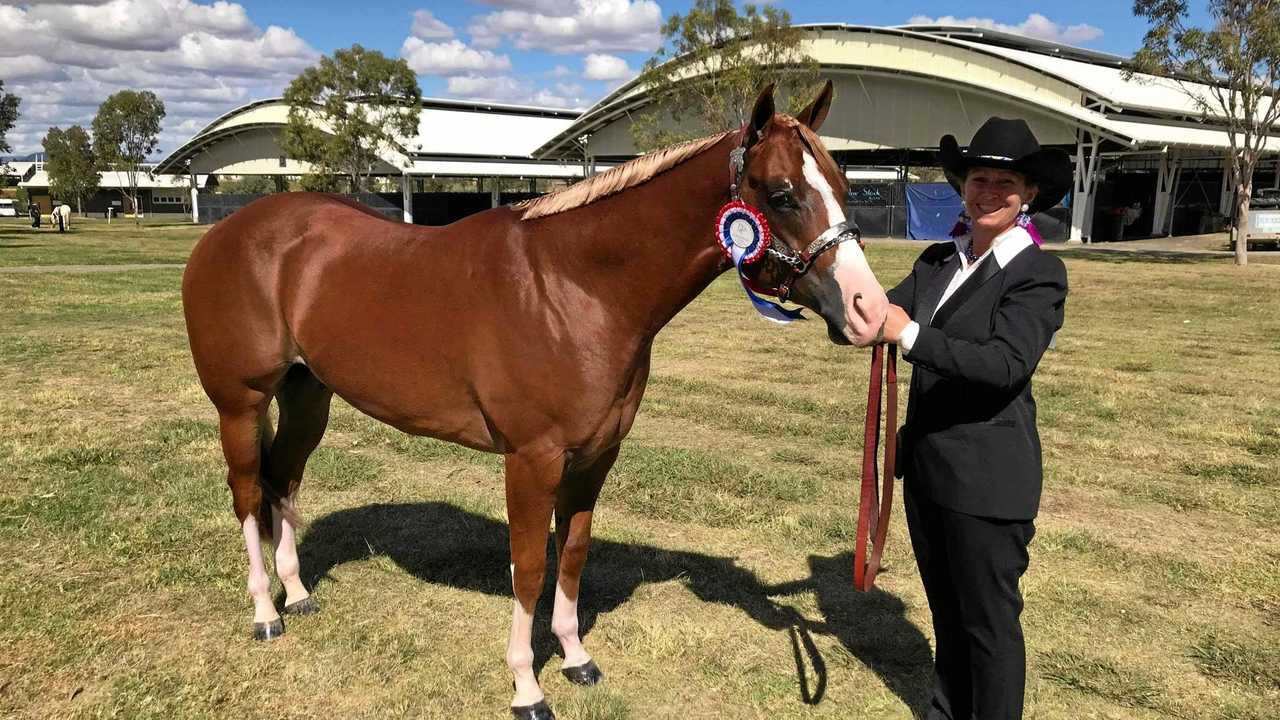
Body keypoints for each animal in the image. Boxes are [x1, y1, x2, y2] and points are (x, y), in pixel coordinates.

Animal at [183, 82, 890, 712]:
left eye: (845, 186)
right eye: (782, 194)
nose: (870, 311)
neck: (574, 288)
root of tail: (226, 233)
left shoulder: (595, 456)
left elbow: (570, 554)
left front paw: (576, 658)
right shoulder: (532, 460)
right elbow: (526, 567)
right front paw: (527, 686)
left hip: (309, 396)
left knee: (283, 480)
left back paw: (298, 593)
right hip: (241, 404)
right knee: (247, 493)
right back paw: (266, 612)